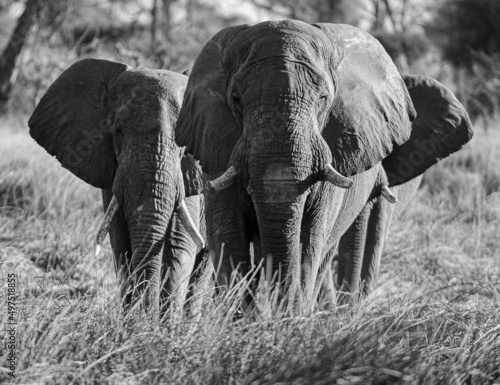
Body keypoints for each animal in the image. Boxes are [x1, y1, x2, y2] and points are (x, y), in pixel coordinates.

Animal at [28, 58, 205, 310]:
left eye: (183, 139)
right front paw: (133, 318)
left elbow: (180, 248)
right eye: (118, 130)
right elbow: (121, 246)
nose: (147, 314)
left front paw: (165, 321)